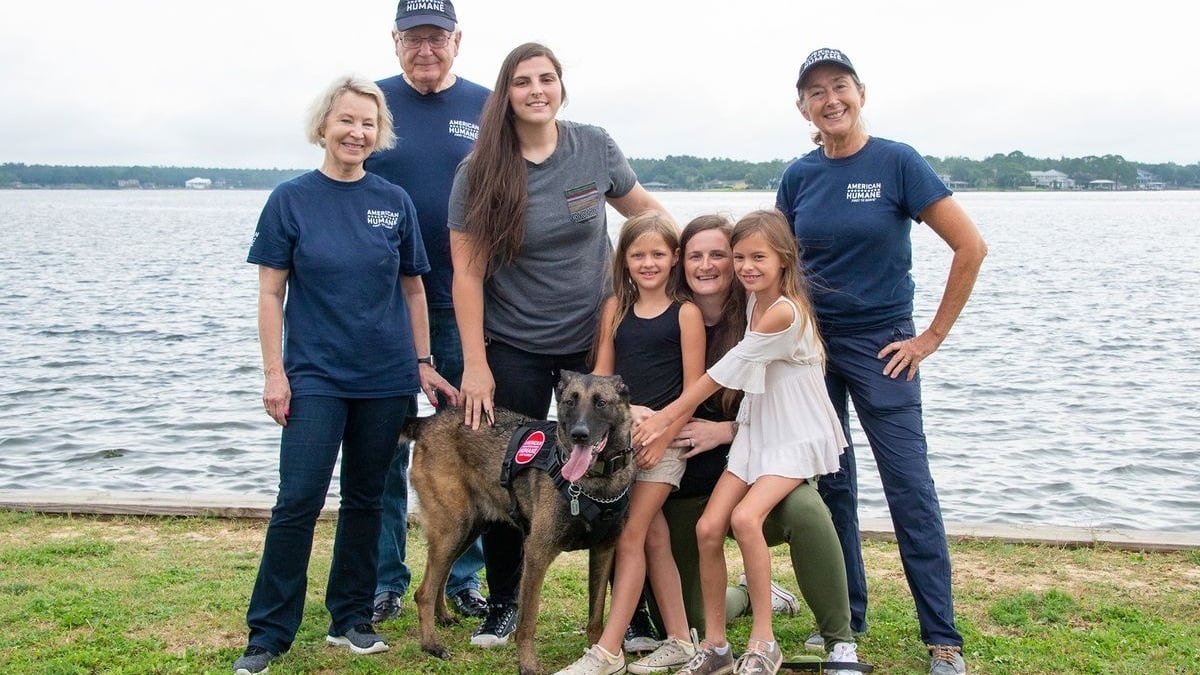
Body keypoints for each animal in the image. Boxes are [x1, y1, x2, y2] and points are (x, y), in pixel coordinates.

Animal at [408, 367, 638, 672]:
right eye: (569, 402)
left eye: (601, 403)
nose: (579, 435)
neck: (595, 483)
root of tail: (429, 422)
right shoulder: (537, 554)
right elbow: (528, 621)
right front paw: (528, 665)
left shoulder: (603, 551)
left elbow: (596, 614)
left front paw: (596, 653)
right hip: (452, 529)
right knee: (424, 591)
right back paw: (431, 645)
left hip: (466, 529)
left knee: (439, 576)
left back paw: (442, 617)